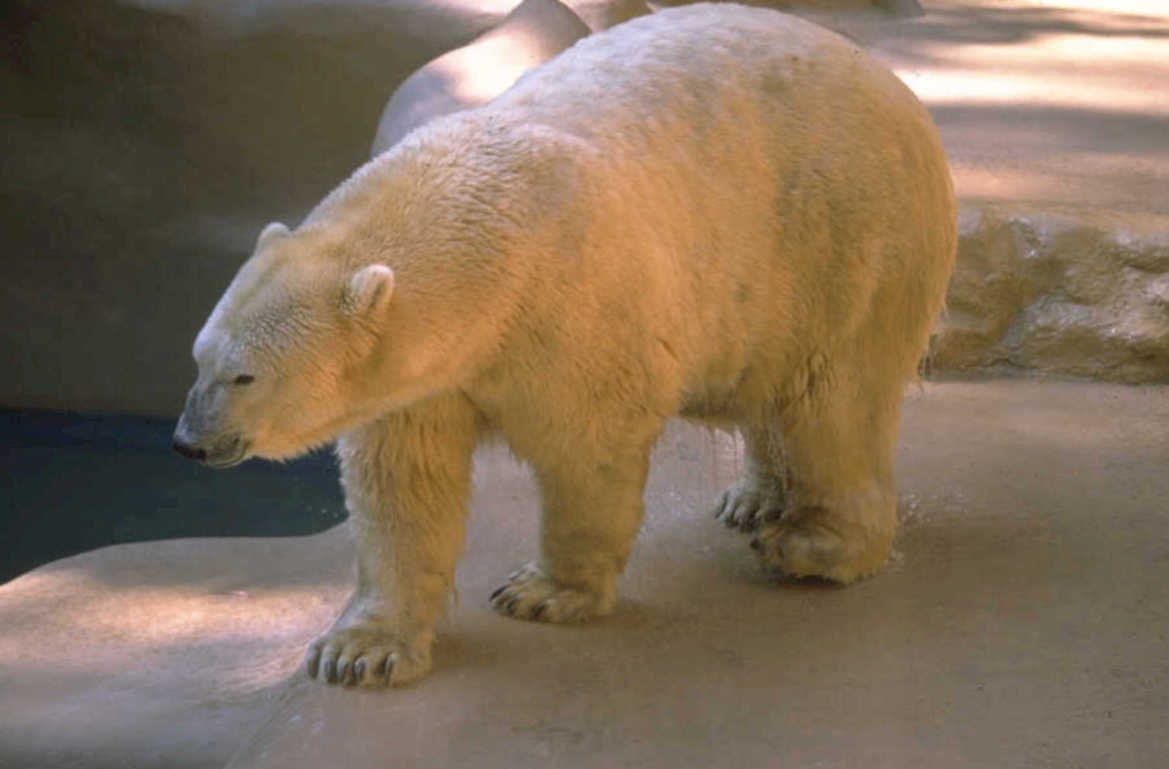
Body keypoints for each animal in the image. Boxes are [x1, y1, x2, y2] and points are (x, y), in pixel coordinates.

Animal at [173, 3, 956, 688]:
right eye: (199, 357)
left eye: (243, 376)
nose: (189, 441)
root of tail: (889, 83)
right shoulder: (420, 379)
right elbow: (403, 486)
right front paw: (359, 650)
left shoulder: (569, 310)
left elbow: (589, 449)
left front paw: (544, 592)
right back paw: (753, 498)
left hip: (846, 240)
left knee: (836, 404)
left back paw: (811, 545)